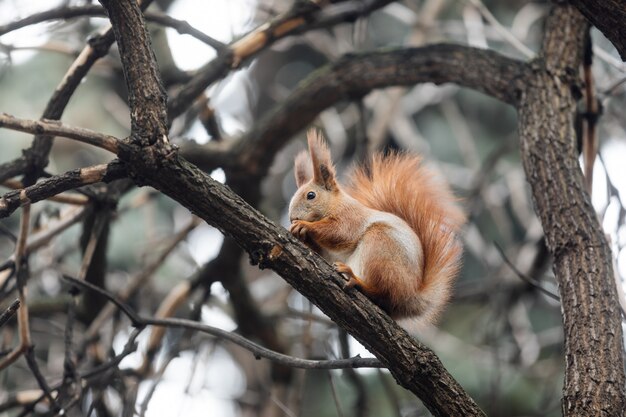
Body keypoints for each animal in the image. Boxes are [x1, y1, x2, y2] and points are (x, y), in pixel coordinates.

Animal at [288, 129, 464, 322]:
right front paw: (299, 233)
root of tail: (410, 296)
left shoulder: (351, 217)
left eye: (311, 195)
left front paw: (305, 226)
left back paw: (356, 281)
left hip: (380, 246)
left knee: (383, 294)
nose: (292, 218)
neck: (335, 204)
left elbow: (339, 232)